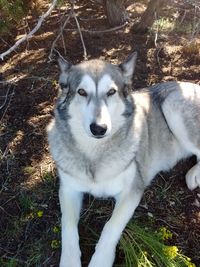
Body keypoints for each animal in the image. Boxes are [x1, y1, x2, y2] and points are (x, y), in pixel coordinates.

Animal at [47, 52, 200, 267]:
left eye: (111, 92)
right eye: (81, 92)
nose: (99, 128)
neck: (95, 154)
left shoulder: (132, 191)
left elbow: (110, 226)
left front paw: (100, 261)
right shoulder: (69, 189)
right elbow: (67, 226)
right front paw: (70, 261)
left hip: (172, 106)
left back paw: (194, 175)